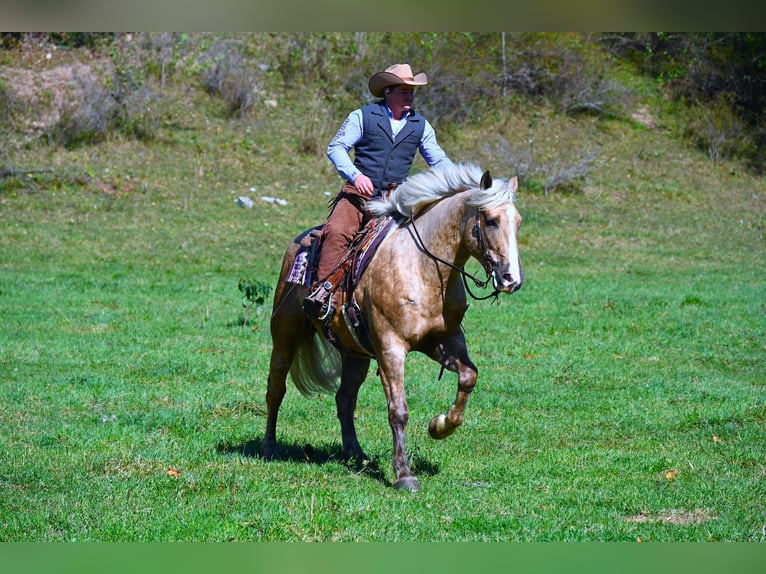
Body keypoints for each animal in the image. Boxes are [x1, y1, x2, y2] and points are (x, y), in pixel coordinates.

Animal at [262, 164, 520, 492]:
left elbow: (468, 377)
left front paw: (439, 426)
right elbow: (398, 410)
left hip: (354, 354)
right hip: (285, 336)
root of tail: (299, 242)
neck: (423, 267)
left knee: (345, 399)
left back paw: (355, 454)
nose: (511, 279)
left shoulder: (444, 341)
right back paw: (269, 448)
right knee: (276, 389)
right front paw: (404, 474)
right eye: (490, 220)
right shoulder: (391, 348)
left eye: (518, 222)